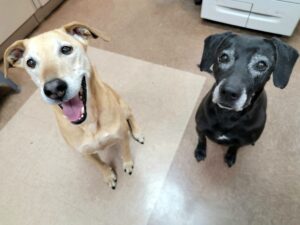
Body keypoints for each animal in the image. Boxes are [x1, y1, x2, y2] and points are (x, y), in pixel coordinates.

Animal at [4, 22, 145, 189]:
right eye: (30, 62)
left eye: (66, 49)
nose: (53, 89)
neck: (89, 122)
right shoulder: (85, 153)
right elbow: (99, 165)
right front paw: (108, 175)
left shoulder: (122, 136)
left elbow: (126, 150)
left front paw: (128, 163)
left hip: (123, 106)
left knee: (131, 116)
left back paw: (137, 132)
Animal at [195, 32, 298, 167]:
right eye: (224, 57)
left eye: (261, 64)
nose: (229, 92)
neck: (227, 115)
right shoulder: (199, 128)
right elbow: (202, 139)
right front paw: (200, 151)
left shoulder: (242, 141)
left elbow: (235, 146)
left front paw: (230, 155)